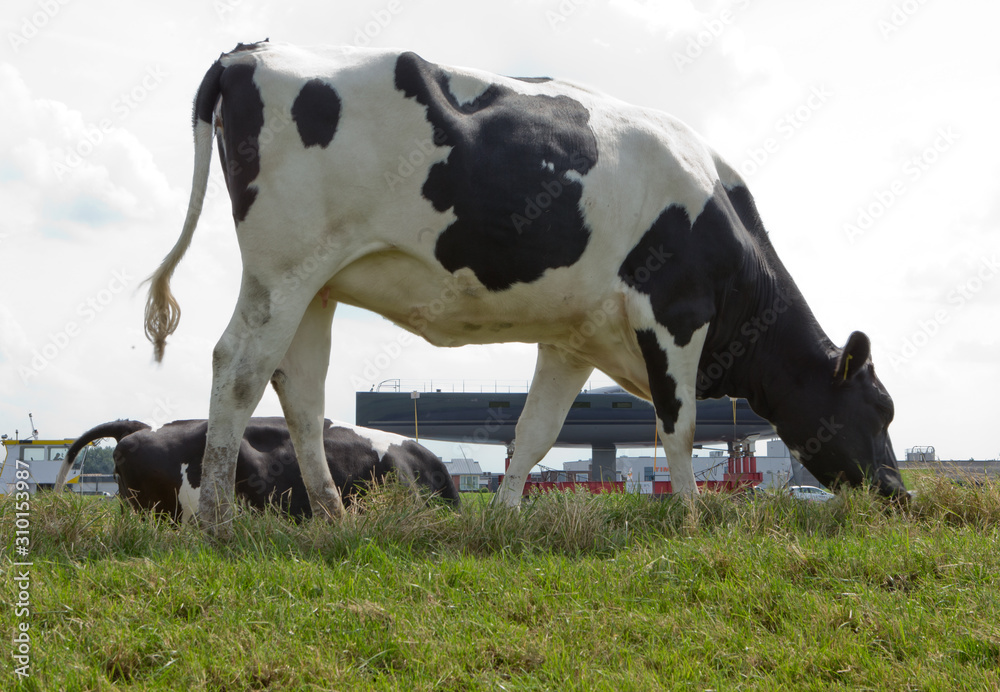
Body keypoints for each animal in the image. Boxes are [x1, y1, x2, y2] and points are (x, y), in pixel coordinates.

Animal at [146, 40, 908, 532]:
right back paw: (217, 520)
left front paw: (508, 518)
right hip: (281, 272)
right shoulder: (674, 313)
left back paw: (334, 518)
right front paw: (693, 517)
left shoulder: (574, 339)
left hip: (317, 287)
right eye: (880, 409)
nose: (900, 498)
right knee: (237, 370)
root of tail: (248, 53)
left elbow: (536, 431)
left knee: (300, 395)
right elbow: (680, 426)